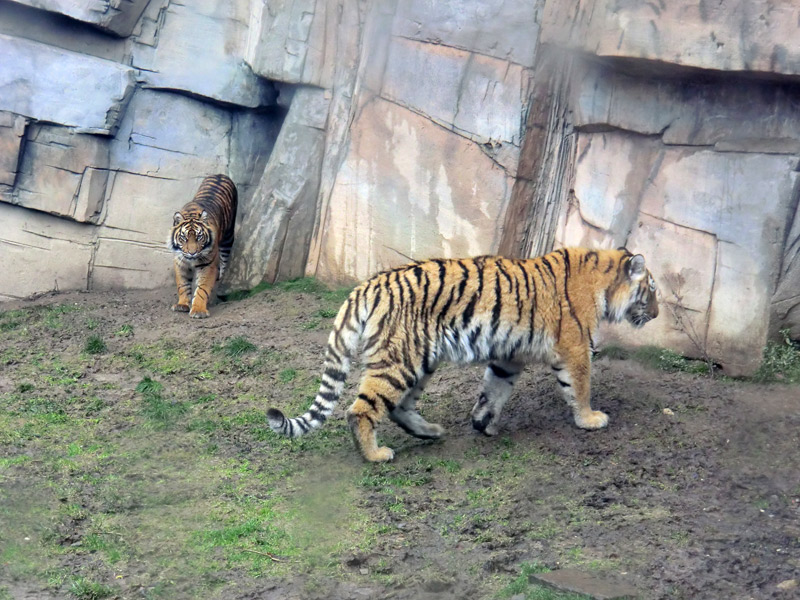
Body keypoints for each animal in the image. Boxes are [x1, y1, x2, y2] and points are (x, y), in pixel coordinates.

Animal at [170, 173, 239, 318]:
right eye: (184, 238)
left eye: (199, 237)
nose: (192, 253)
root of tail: (221, 174)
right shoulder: (180, 263)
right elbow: (182, 285)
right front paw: (182, 304)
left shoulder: (208, 265)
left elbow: (202, 289)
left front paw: (198, 310)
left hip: (228, 237)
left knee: (224, 263)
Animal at [268, 246, 656, 462]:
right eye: (651, 289)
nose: (655, 314)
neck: (604, 283)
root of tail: (368, 284)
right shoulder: (574, 348)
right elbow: (581, 387)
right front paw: (591, 419)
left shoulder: (508, 356)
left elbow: (493, 390)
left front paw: (483, 424)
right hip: (400, 360)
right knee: (360, 410)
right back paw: (376, 455)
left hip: (421, 360)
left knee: (399, 408)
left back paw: (430, 432)